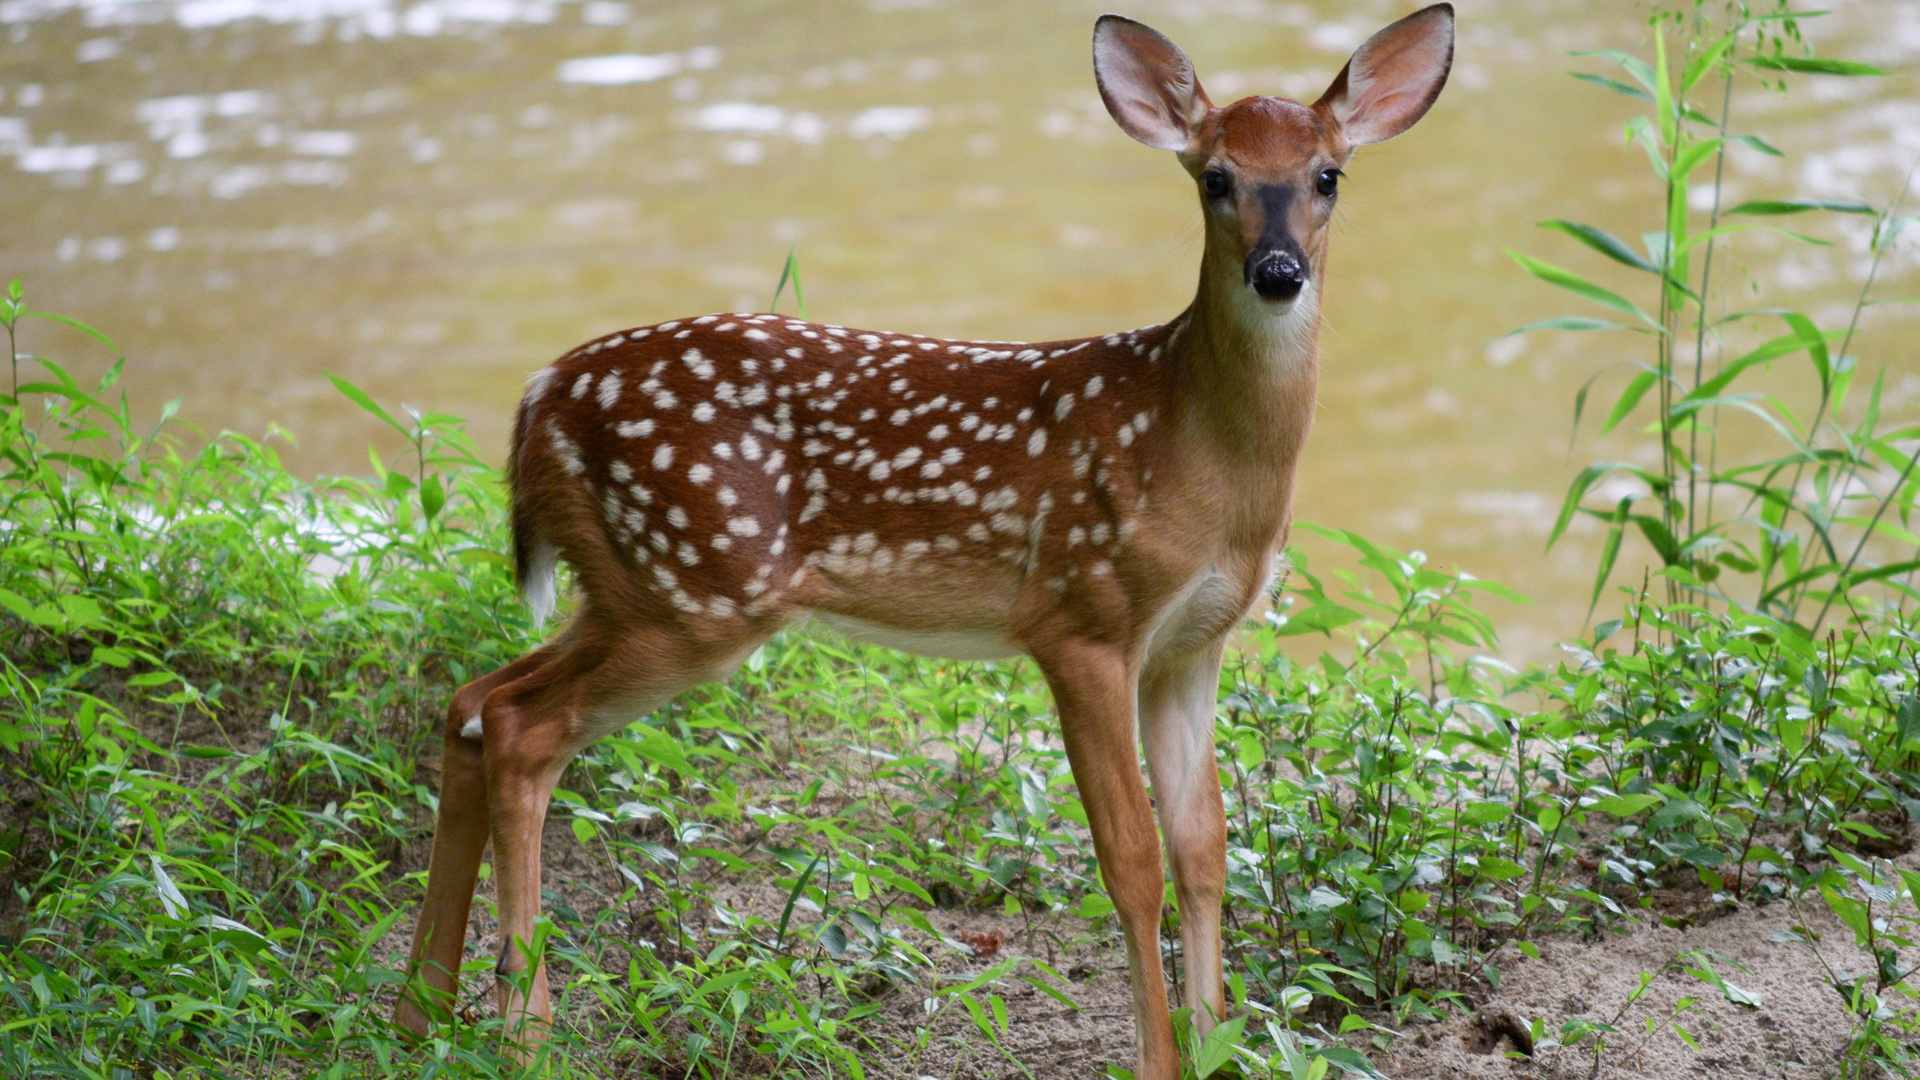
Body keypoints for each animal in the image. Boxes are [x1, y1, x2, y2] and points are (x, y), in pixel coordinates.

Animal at [392, 6, 1452, 1077]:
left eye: (1329, 175)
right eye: (1215, 177)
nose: (1278, 274)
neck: (1196, 448)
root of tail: (538, 400)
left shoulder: (1193, 642)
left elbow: (1205, 851)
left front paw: (1210, 1044)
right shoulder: (1083, 615)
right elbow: (1132, 860)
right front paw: (1161, 1058)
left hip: (630, 584)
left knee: (474, 701)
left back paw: (420, 1014)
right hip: (697, 589)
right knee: (521, 727)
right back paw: (523, 1032)